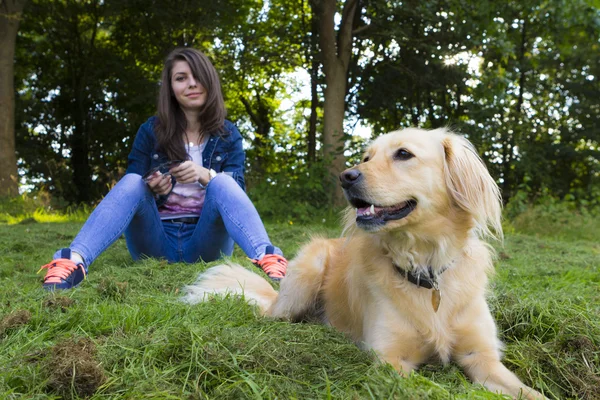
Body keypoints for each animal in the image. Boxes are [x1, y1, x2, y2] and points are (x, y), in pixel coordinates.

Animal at [185, 128, 548, 400]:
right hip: (307, 272)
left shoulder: (482, 356)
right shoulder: (391, 360)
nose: (346, 177)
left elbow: (530, 393)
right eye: (366, 157)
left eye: (404, 154)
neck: (425, 267)